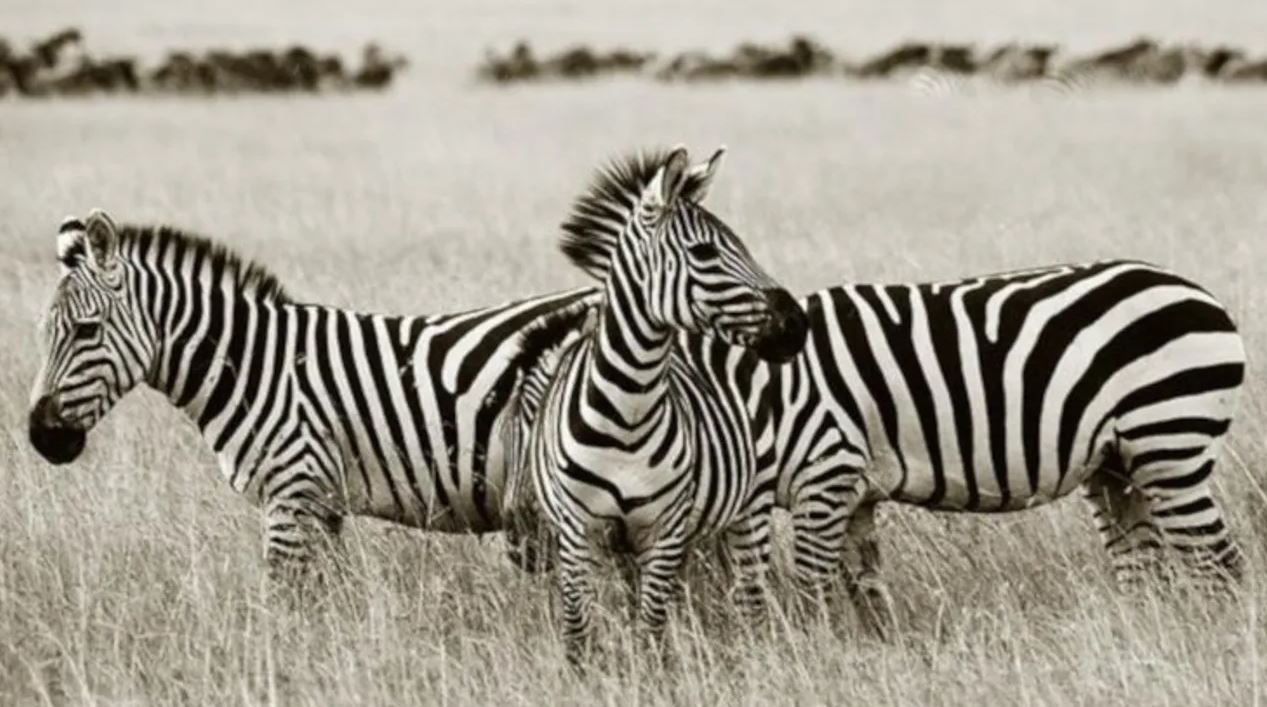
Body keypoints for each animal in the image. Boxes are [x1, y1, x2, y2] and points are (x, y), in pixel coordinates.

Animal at [27, 208, 603, 583]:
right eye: (43, 333)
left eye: (86, 331)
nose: (40, 438)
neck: (254, 368)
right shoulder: (323, 505)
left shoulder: (291, 493)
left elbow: (286, 607)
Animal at [512, 146, 808, 663]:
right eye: (705, 253)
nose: (798, 325)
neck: (627, 413)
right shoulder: (579, 532)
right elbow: (578, 628)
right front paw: (585, 672)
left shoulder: (664, 533)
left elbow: (650, 629)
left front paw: (650, 672)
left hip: (752, 502)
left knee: (750, 597)